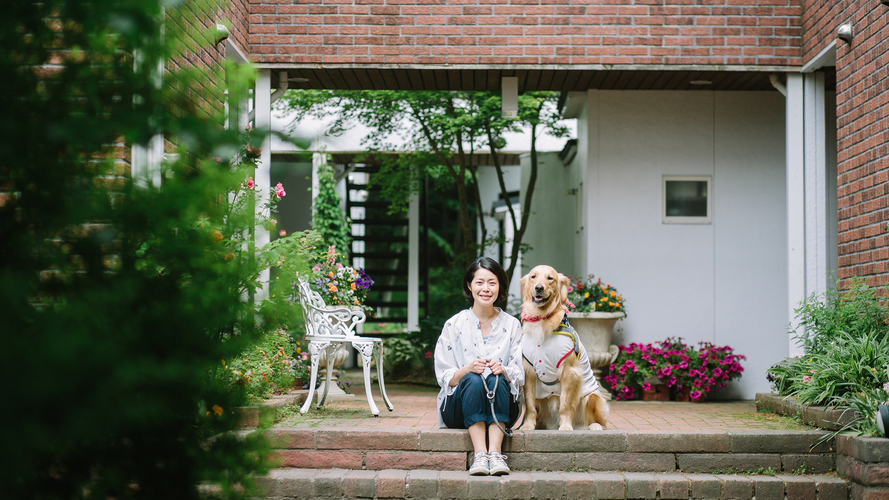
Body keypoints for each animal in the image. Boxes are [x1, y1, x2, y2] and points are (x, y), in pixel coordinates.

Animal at [516, 264, 608, 432]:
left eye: (550, 278)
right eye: (533, 276)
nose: (539, 288)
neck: (542, 317)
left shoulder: (569, 372)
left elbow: (565, 404)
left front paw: (565, 426)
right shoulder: (529, 371)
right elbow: (530, 405)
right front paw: (527, 425)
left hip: (593, 397)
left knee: (599, 420)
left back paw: (594, 426)